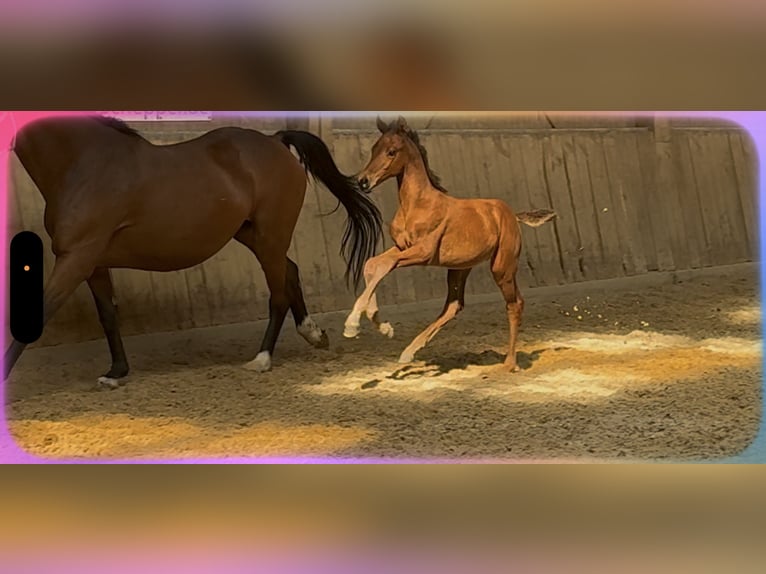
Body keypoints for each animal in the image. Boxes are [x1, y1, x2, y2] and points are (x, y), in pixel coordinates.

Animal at [4, 115, 383, 388]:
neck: (82, 163)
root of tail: (275, 141)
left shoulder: (75, 259)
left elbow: (40, 312)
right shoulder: (91, 262)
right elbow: (108, 314)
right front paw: (116, 372)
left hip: (270, 235)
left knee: (278, 292)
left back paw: (261, 359)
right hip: (253, 236)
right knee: (289, 273)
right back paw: (313, 334)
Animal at [343, 116, 556, 371]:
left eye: (391, 151)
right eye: (374, 149)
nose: (363, 181)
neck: (417, 204)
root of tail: (512, 215)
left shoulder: (422, 253)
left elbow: (384, 265)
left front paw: (353, 324)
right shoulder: (403, 247)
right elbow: (372, 264)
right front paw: (383, 326)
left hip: (501, 267)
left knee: (515, 304)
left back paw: (509, 363)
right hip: (459, 268)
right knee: (454, 305)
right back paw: (409, 351)